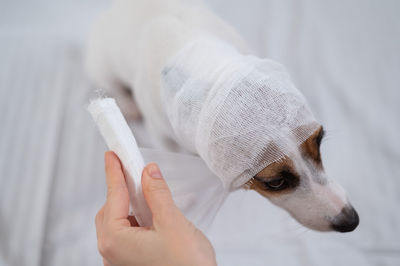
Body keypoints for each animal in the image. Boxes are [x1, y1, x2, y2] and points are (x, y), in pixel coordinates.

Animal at [86, 0, 360, 233]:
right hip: (103, 69)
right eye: (275, 183)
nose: (351, 221)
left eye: (320, 142)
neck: (210, 69)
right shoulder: (160, 132)